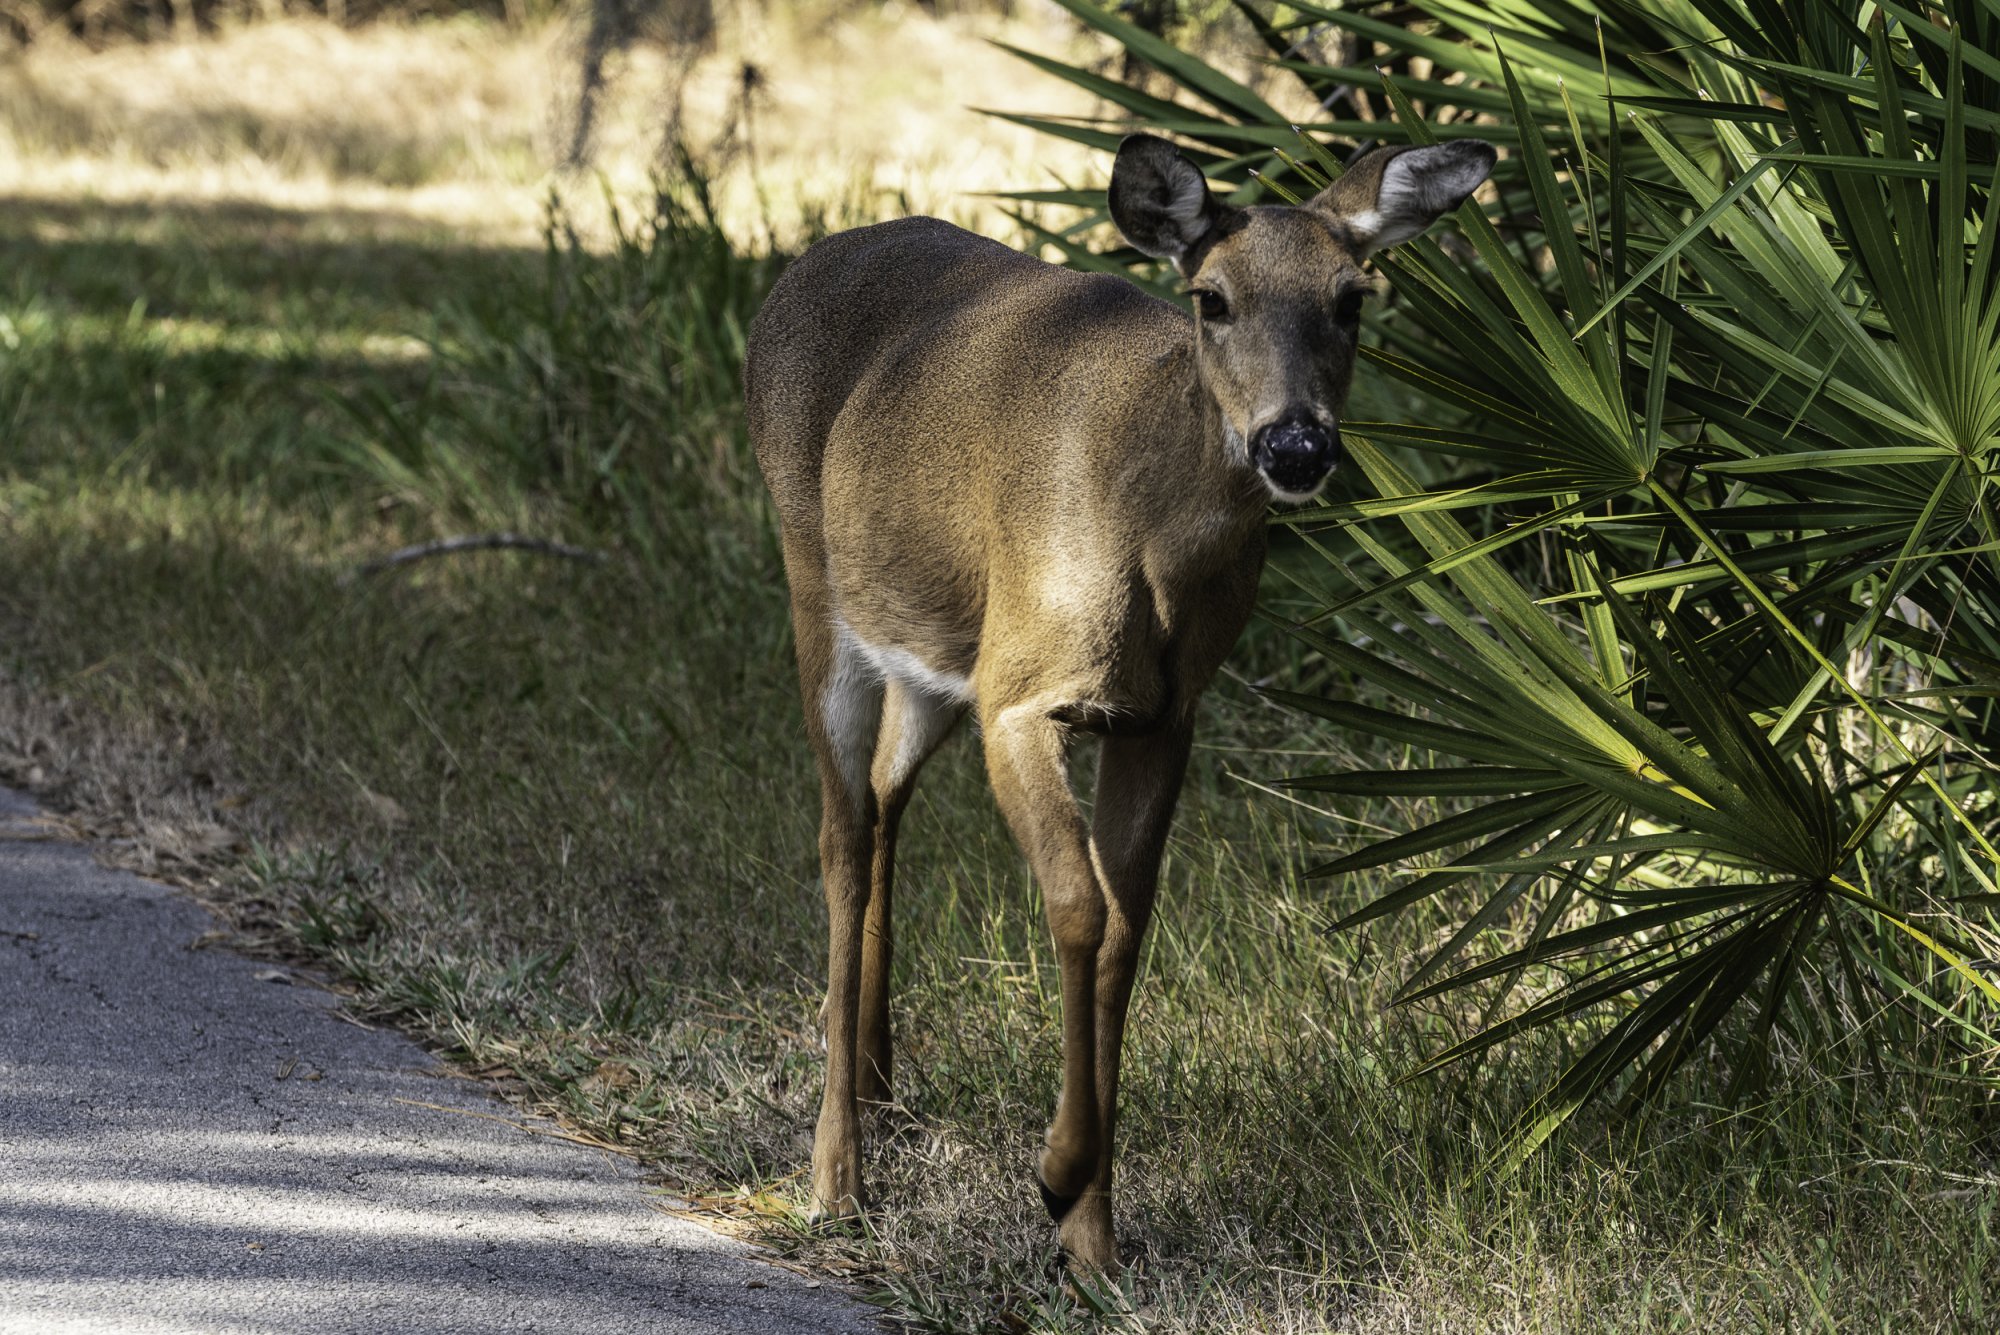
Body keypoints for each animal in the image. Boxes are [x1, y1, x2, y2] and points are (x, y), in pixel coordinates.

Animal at [744, 129, 1496, 1271]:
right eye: (1211, 298)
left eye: (1352, 299)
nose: (1295, 445)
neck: (1147, 538)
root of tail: (805, 262)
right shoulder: (1021, 695)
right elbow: (1079, 906)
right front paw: (1057, 1173)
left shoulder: (1160, 715)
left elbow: (1127, 932)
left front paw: (1091, 1240)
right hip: (814, 585)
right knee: (839, 831)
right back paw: (837, 1178)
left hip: (936, 652)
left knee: (880, 802)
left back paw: (879, 1086)